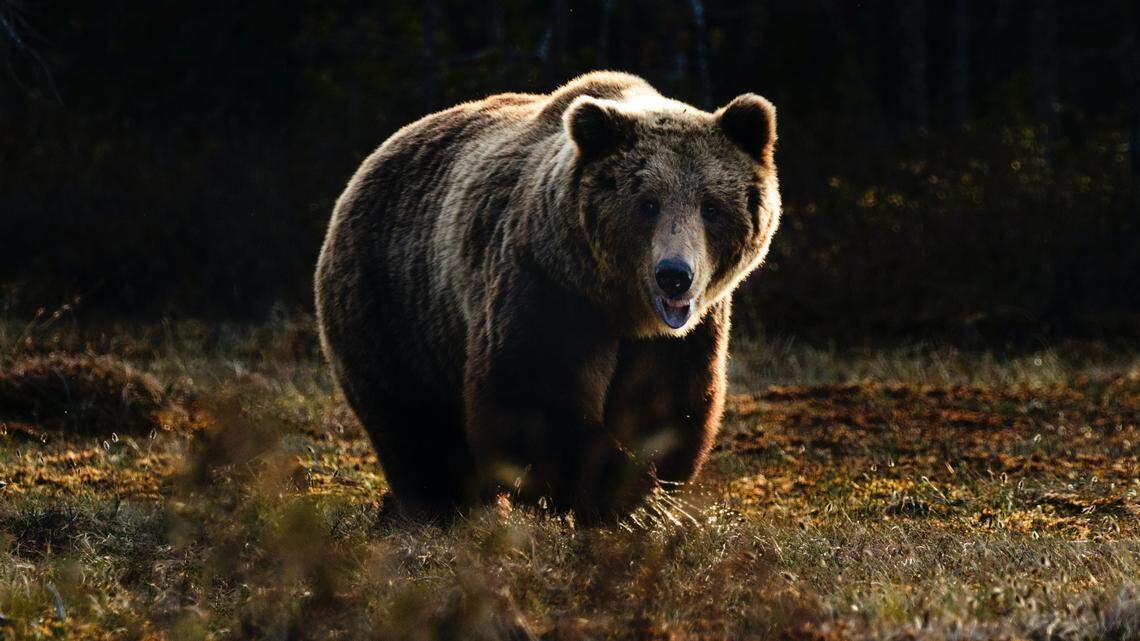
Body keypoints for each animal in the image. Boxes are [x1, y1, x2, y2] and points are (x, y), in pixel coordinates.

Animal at [315, 71, 781, 521]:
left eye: (710, 206)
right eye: (648, 203)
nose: (674, 276)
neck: (620, 304)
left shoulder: (684, 334)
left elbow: (665, 404)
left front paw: (647, 493)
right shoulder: (547, 286)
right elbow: (533, 397)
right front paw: (621, 497)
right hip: (394, 305)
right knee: (415, 423)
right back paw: (441, 506)